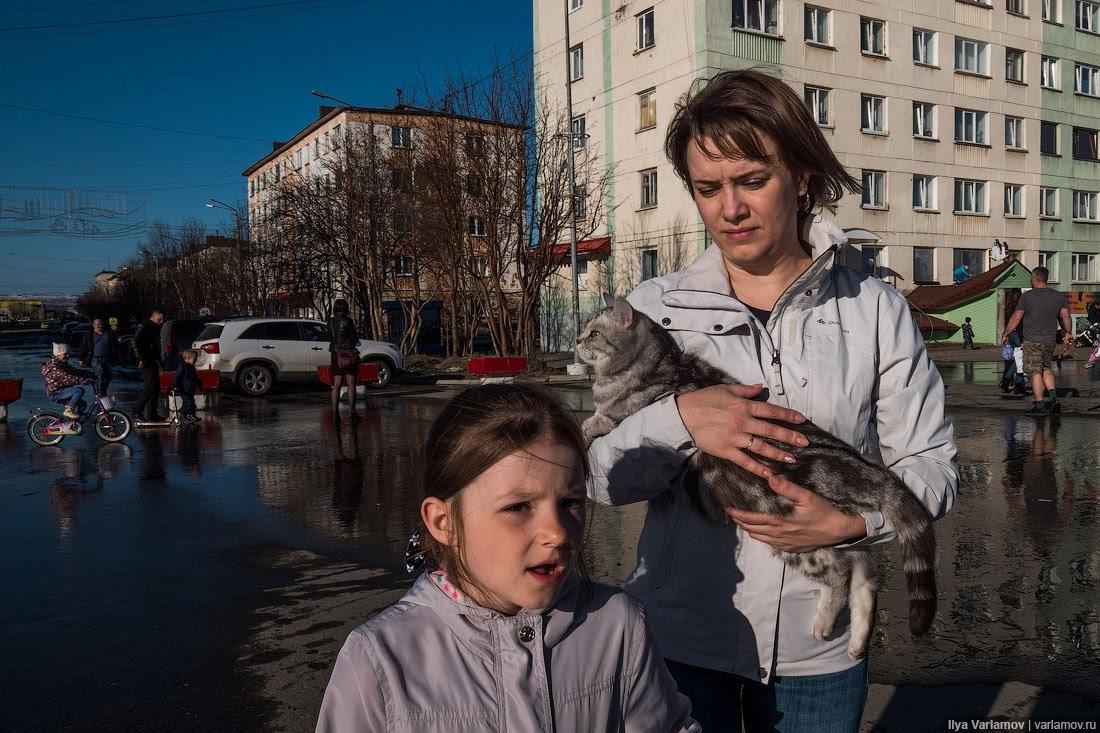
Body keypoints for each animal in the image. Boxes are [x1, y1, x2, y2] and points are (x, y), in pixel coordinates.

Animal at [576, 294, 937, 660]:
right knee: (865, 571)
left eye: (594, 333)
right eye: (584, 329)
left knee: (842, 571)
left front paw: (583, 431)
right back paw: (858, 640)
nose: (576, 341)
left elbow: (593, 422)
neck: (657, 362)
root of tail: (870, 471)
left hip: (799, 539)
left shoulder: (620, 413)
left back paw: (825, 622)